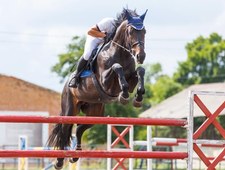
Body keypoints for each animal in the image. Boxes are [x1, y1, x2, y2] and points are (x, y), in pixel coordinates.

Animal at [47, 8, 148, 169]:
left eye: (144, 31)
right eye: (131, 31)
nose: (141, 56)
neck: (120, 53)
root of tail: (65, 87)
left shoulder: (131, 77)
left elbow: (140, 71)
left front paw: (137, 98)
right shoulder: (105, 82)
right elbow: (117, 67)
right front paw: (124, 96)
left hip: (95, 112)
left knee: (79, 128)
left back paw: (75, 155)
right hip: (69, 110)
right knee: (64, 130)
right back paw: (59, 161)